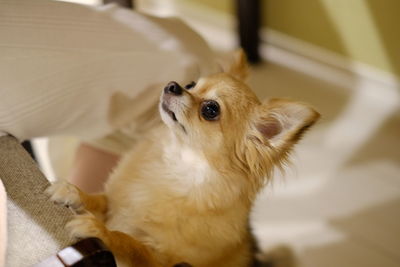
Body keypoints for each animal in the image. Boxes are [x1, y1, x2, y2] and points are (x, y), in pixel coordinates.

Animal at [47, 50, 320, 267]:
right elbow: (101, 199)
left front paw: (101, 232)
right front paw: (74, 193)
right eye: (191, 85)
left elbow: (132, 244)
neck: (174, 165)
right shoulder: (115, 203)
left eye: (210, 110)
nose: (173, 85)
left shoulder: (163, 261)